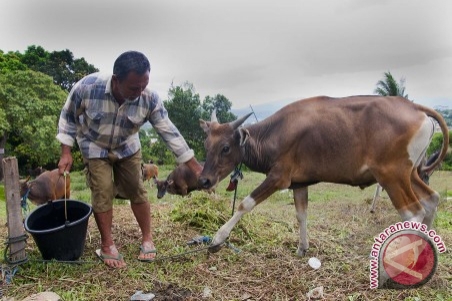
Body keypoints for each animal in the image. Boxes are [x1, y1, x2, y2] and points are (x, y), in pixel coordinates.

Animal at [198, 95, 448, 254]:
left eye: (225, 147)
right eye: (206, 144)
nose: (204, 180)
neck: (275, 134)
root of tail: (415, 108)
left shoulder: (279, 177)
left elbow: (245, 204)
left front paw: (219, 238)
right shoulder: (299, 183)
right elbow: (301, 214)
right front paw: (302, 248)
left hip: (391, 176)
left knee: (414, 213)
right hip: (411, 173)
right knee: (432, 199)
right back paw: (424, 249)